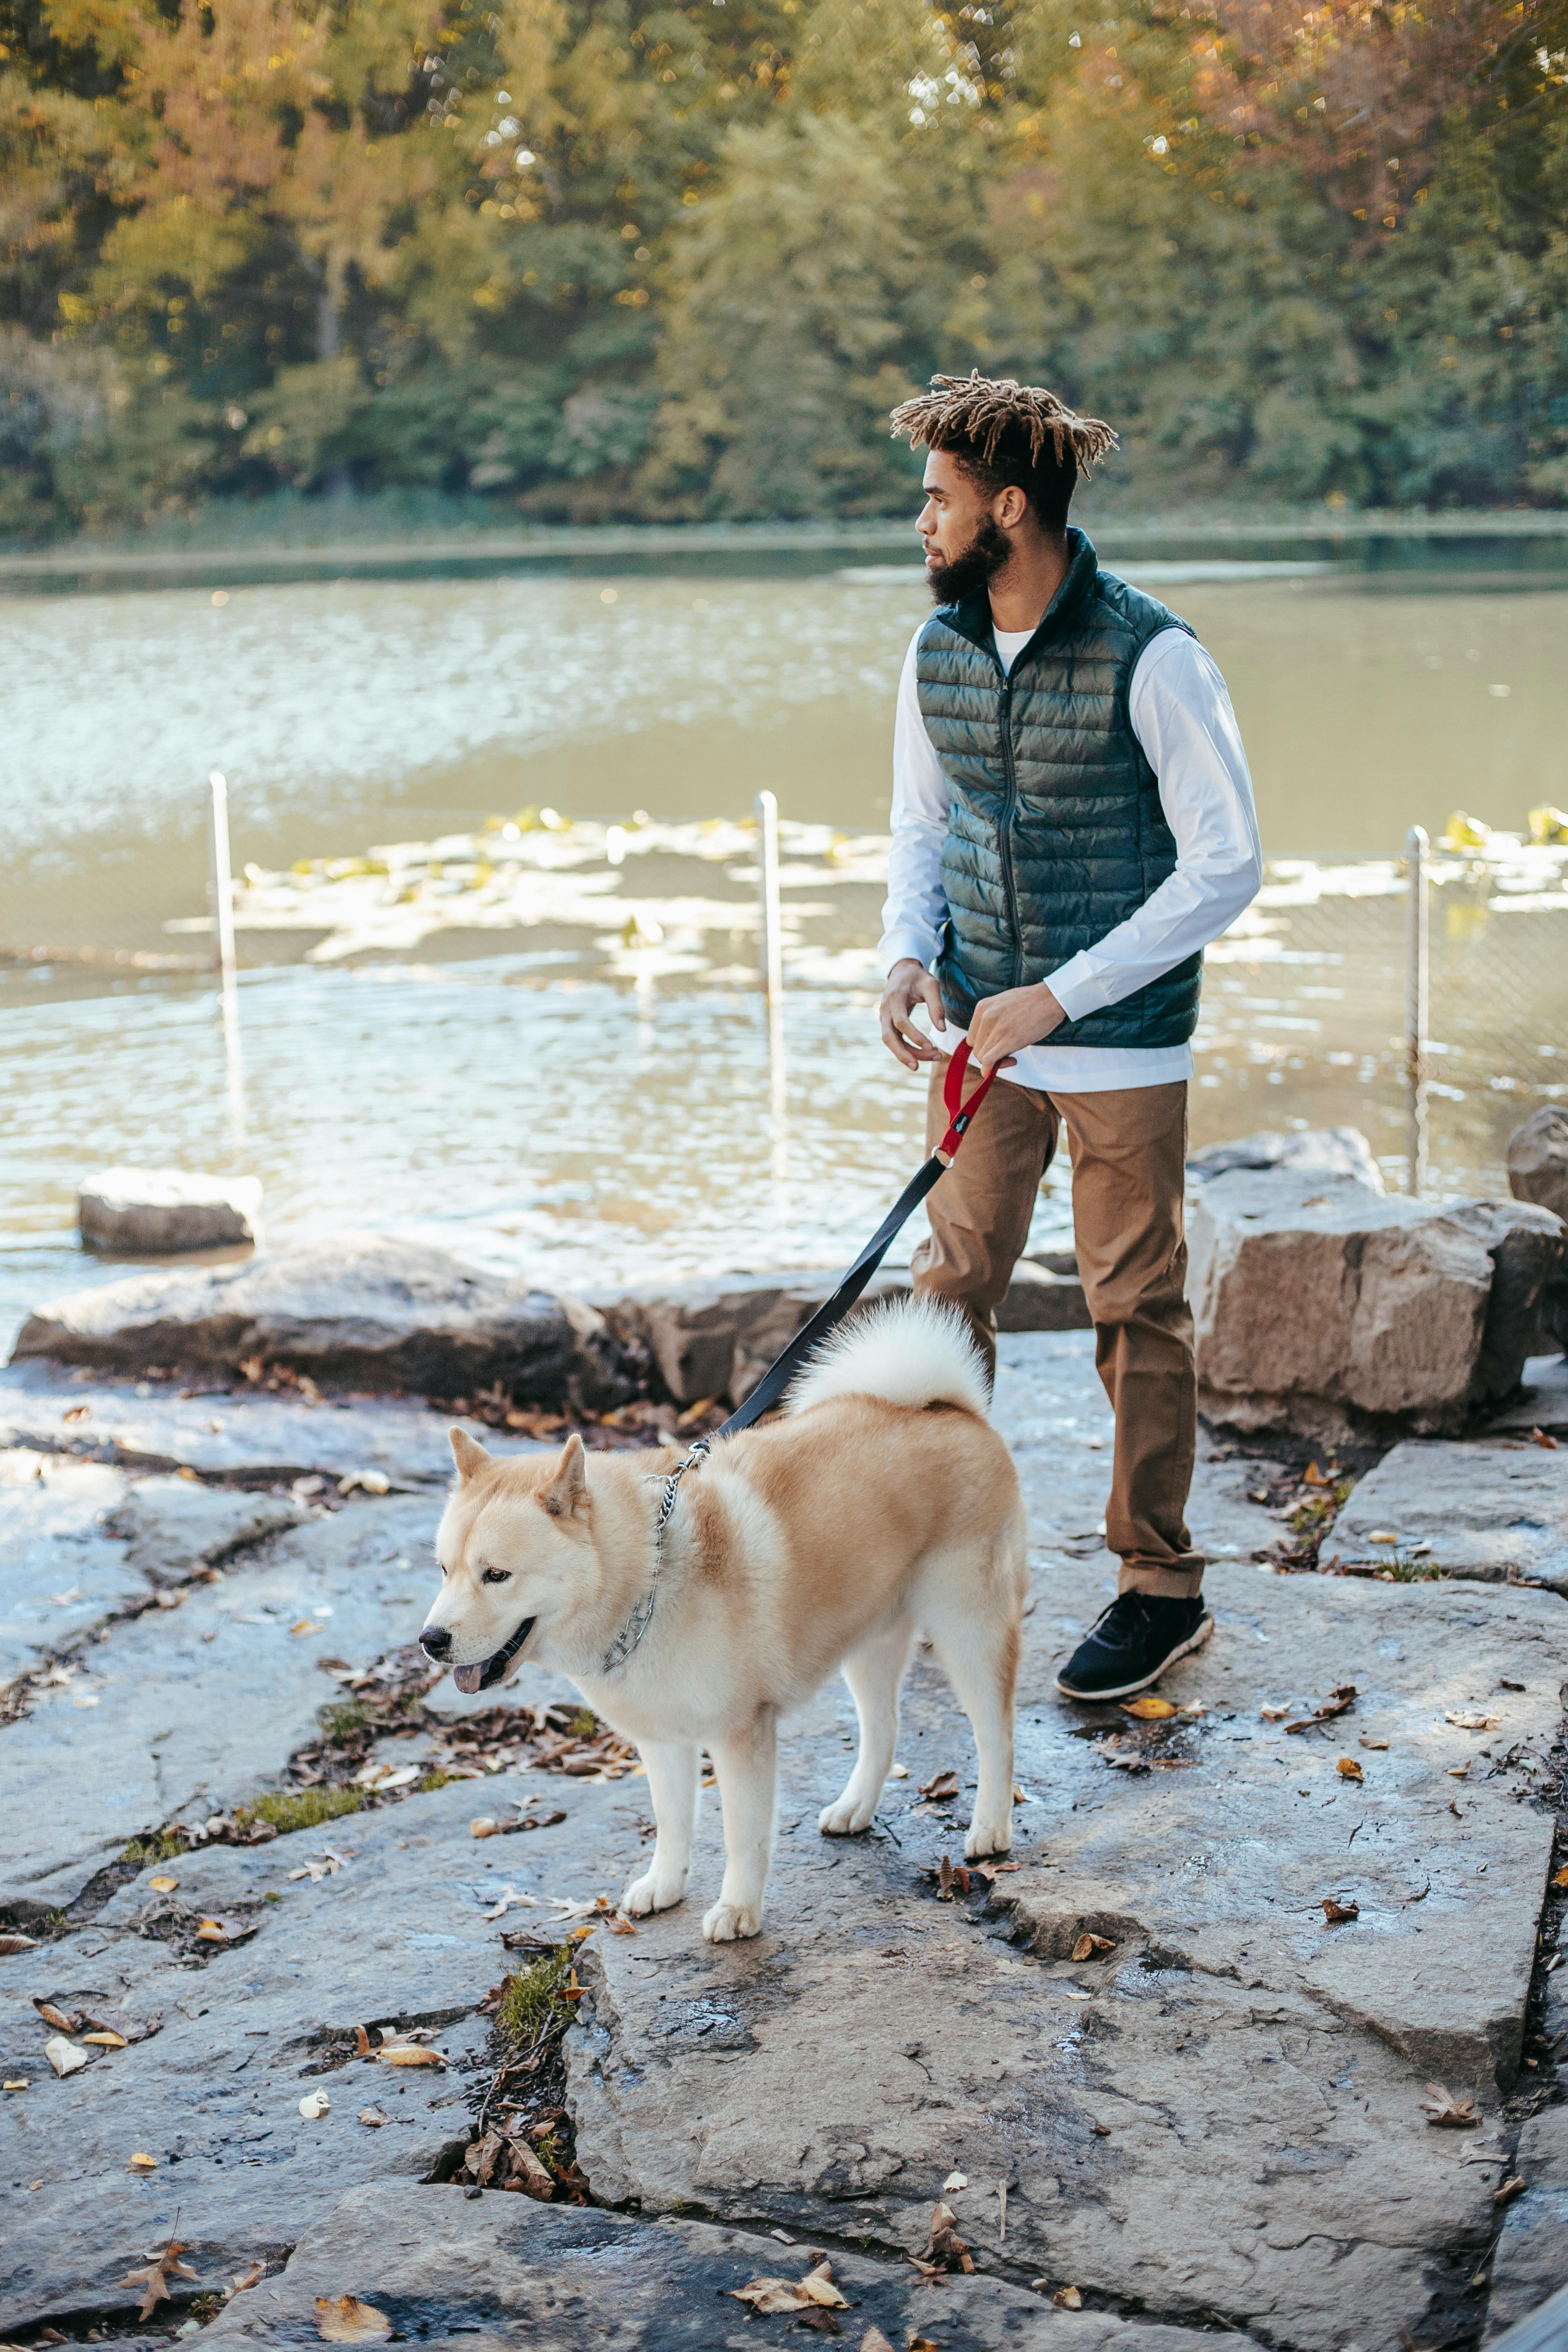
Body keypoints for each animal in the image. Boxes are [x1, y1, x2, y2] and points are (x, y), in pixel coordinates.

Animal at [416, 1298, 1029, 1938]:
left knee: (997, 1734)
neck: (648, 1583)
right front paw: (665, 1884)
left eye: (496, 1575)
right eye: (444, 1570)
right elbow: (673, 1823)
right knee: (883, 1731)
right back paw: (857, 1808)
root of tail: (949, 1409)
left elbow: (743, 1836)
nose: (430, 1640)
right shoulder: (662, 1742)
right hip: (869, 1643)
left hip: (969, 1631)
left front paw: (738, 1909)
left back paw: (991, 1827)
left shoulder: (740, 1736)